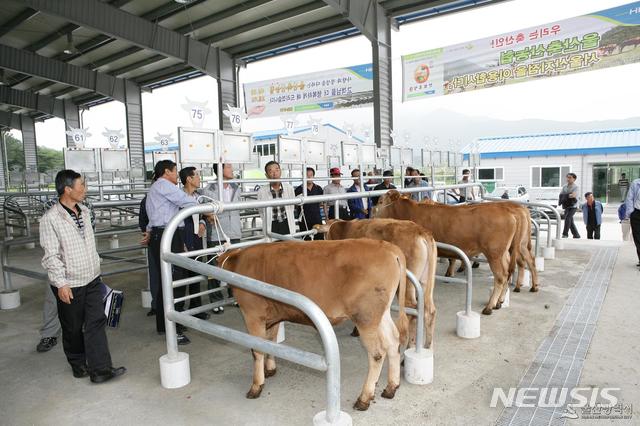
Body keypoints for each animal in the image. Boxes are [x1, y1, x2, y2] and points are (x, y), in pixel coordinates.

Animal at [218, 240, 410, 410]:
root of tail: (387, 247)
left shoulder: (252, 314)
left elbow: (257, 349)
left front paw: (256, 386)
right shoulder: (272, 316)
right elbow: (270, 342)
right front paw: (270, 369)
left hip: (365, 317)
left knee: (377, 354)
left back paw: (364, 398)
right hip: (381, 315)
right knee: (393, 342)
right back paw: (391, 387)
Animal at [316, 218, 440, 352]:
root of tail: (421, 230)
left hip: (408, 283)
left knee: (412, 310)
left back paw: (408, 350)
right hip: (426, 281)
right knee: (429, 310)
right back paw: (428, 348)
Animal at [376, 191, 520, 314]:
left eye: (380, 201)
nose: (372, 214)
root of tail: (507, 211)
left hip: (494, 254)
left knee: (501, 277)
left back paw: (490, 306)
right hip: (503, 253)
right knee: (508, 272)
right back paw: (500, 301)